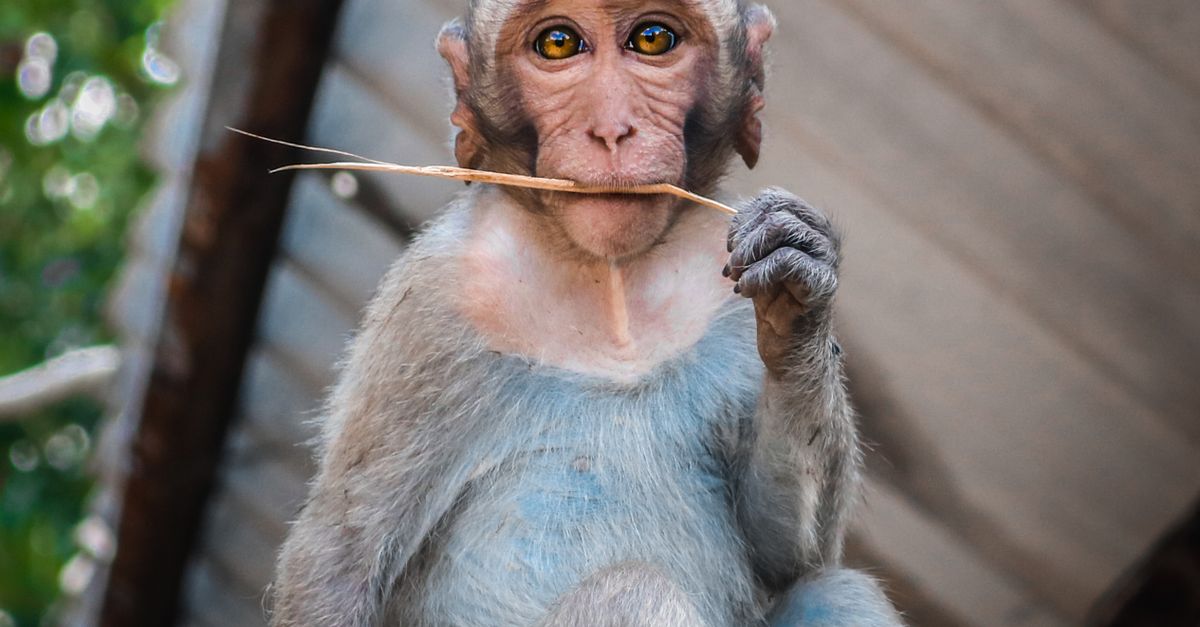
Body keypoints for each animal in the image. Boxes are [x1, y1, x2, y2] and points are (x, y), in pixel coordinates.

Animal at [270, 0, 904, 625]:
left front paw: (799, 286)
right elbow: (342, 556)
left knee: (835, 591)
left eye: (653, 39)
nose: (611, 130)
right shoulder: (431, 306)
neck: (610, 282)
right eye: (557, 44)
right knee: (631, 592)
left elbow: (786, 557)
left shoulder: (718, 272)